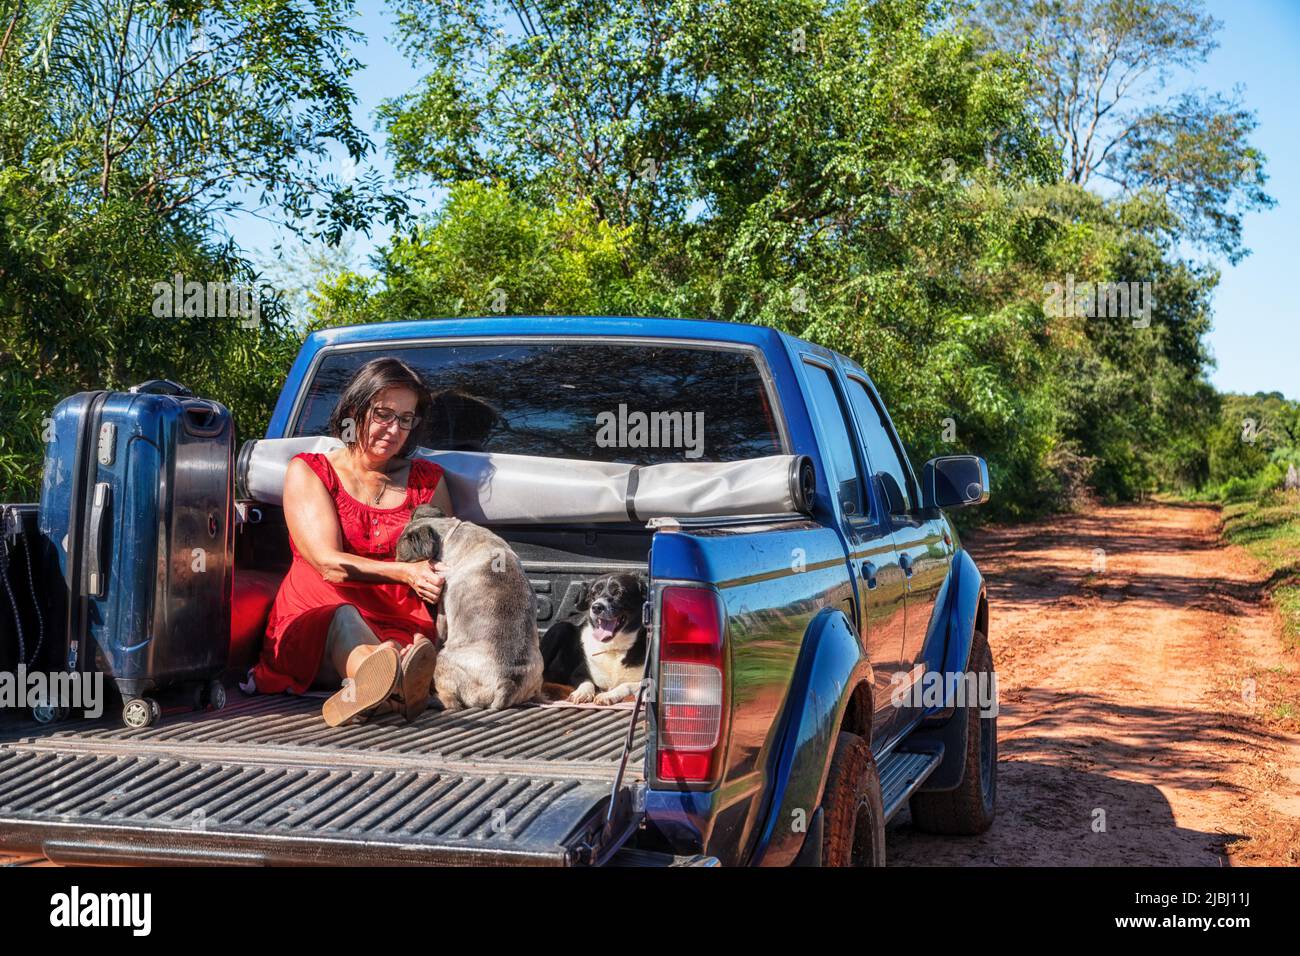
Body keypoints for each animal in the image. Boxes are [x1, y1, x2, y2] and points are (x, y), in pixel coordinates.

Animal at [392, 509, 540, 712]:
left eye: (401, 557)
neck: (447, 536)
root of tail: (507, 682)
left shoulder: (442, 608)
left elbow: (439, 633)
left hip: (442, 660)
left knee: (452, 703)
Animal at [543, 572, 650, 707]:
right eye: (594, 593)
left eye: (619, 592)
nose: (596, 607)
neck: (613, 648)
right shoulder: (578, 673)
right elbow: (587, 681)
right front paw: (582, 692)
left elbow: (626, 684)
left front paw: (608, 695)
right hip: (560, 628)